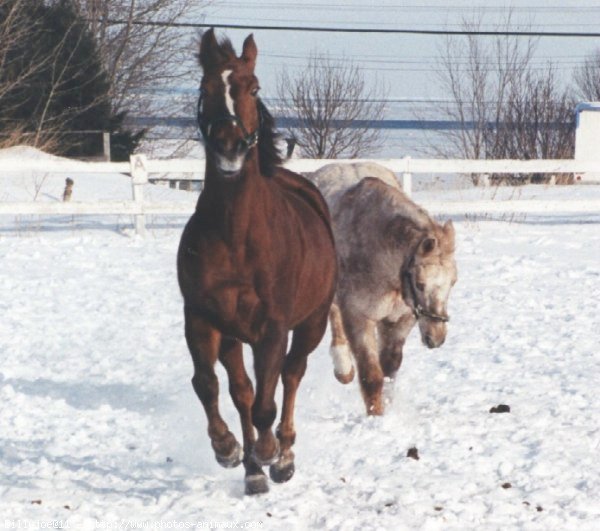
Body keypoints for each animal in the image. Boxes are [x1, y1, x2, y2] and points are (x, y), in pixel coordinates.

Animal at [177, 29, 338, 494]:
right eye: (205, 88)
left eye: (254, 88)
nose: (230, 148)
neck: (236, 237)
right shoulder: (201, 318)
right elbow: (209, 386)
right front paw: (228, 449)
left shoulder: (274, 327)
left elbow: (269, 398)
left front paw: (269, 453)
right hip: (234, 337)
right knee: (242, 391)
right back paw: (252, 471)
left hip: (311, 323)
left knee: (291, 376)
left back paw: (282, 458)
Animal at [310, 162, 454, 416]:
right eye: (420, 284)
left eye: (452, 282)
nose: (435, 337)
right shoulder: (358, 317)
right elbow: (371, 376)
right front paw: (375, 417)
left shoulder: (400, 320)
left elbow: (389, 371)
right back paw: (343, 367)